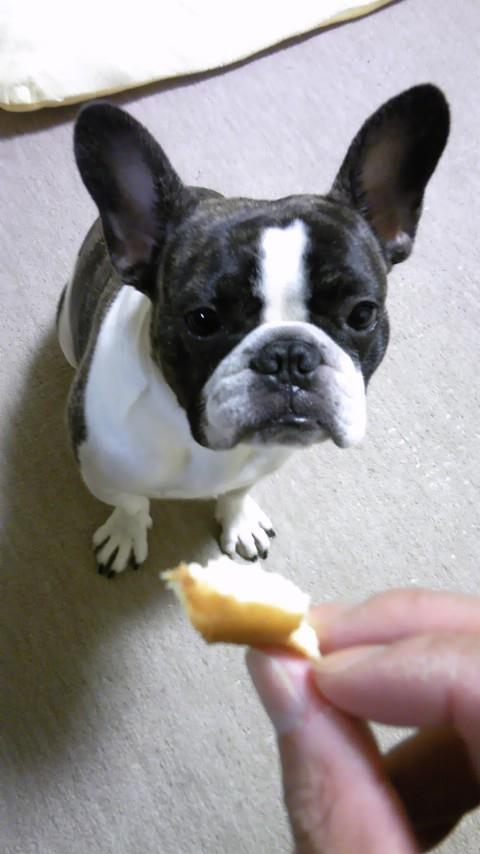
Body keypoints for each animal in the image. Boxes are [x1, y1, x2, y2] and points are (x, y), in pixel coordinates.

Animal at [57, 84, 449, 576]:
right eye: (202, 320)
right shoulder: (101, 470)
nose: (289, 356)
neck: (196, 440)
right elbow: (130, 503)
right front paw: (126, 534)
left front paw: (239, 520)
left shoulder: (262, 464)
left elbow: (237, 491)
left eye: (362, 314)